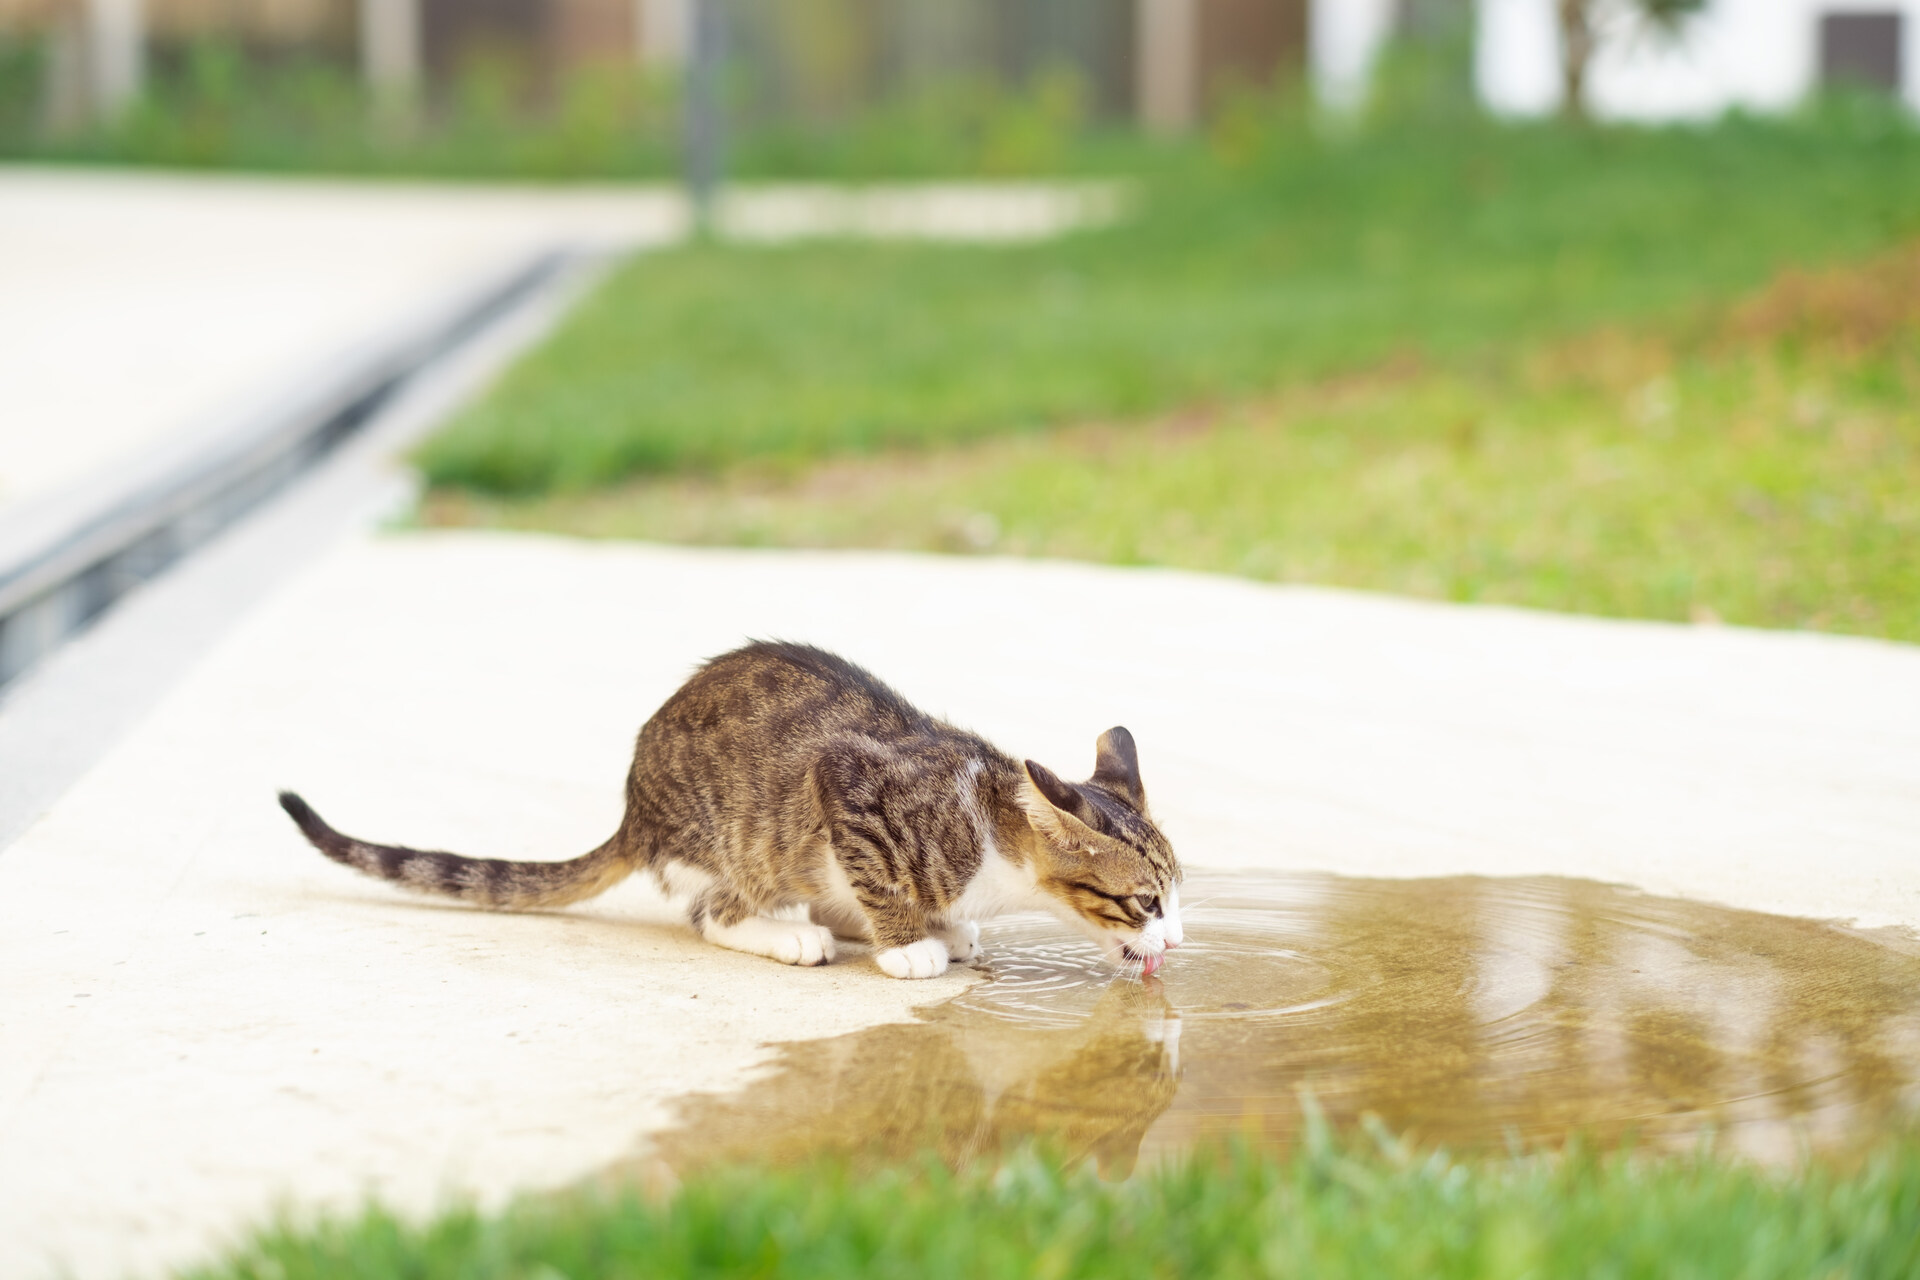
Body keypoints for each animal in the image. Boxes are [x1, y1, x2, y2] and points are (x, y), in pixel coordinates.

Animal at [280, 640, 1182, 982]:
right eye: (1145, 901)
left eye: (1177, 899)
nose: (1175, 941)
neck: (991, 825)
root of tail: (634, 811)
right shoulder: (848, 787)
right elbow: (880, 875)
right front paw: (905, 946)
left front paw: (932, 927)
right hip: (745, 840)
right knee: (713, 910)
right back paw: (790, 934)